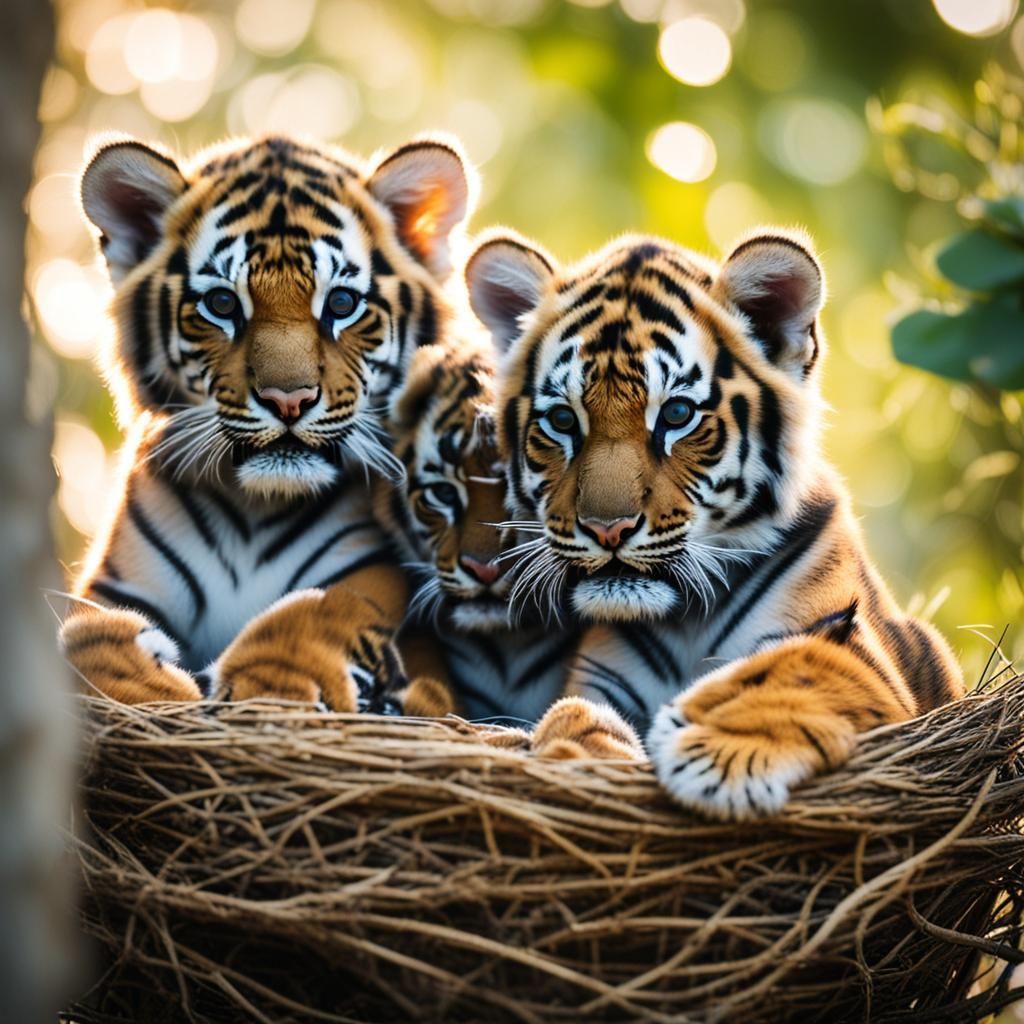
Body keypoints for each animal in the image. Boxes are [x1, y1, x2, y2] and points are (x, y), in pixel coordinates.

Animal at [59, 132, 472, 716]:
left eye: (341, 303)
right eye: (221, 303)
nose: (288, 399)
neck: (254, 509)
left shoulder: (375, 576)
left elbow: (330, 605)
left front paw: (280, 681)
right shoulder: (117, 589)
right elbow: (79, 642)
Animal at [464, 226, 964, 818]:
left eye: (677, 415)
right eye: (562, 420)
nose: (607, 529)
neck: (687, 619)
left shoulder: (866, 655)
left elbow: (808, 666)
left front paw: (720, 756)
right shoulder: (602, 682)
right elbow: (573, 710)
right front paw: (577, 752)